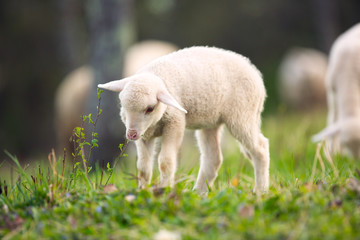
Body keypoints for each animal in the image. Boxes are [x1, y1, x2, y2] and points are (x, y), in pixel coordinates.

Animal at [98, 46, 270, 194]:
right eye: (122, 104)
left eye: (150, 108)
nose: (131, 134)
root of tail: (255, 72)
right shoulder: (144, 134)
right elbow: (143, 167)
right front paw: (143, 191)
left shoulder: (175, 123)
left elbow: (166, 162)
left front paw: (164, 190)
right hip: (211, 122)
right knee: (213, 158)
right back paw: (199, 192)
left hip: (243, 115)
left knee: (260, 148)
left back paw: (260, 191)